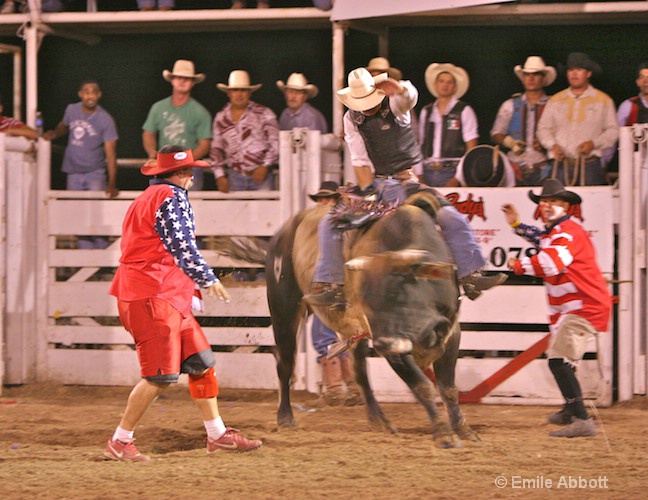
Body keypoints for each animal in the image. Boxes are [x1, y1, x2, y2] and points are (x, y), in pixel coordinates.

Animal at [264, 195, 480, 450]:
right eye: (368, 303)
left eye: (399, 293)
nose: (383, 344)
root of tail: (283, 233)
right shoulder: (394, 346)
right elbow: (423, 386)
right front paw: (444, 435)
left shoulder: (451, 334)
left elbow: (448, 389)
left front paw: (465, 431)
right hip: (284, 309)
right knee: (285, 362)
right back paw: (286, 417)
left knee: (359, 371)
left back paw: (379, 421)